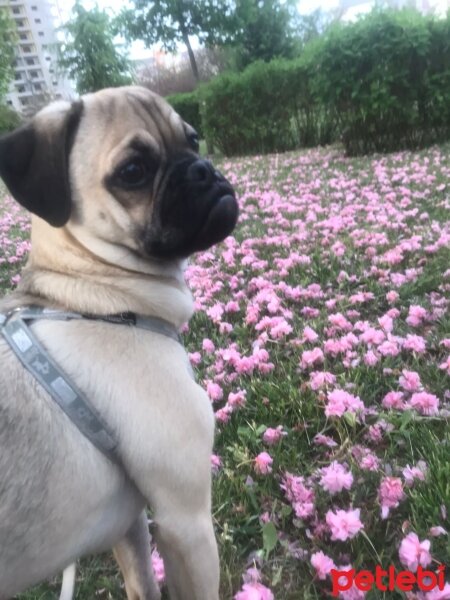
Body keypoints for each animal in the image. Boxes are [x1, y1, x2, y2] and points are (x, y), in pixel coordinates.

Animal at [0, 85, 239, 600]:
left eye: (193, 138)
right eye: (133, 172)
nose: (201, 168)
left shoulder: (131, 523)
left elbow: (142, 584)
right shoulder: (186, 522)